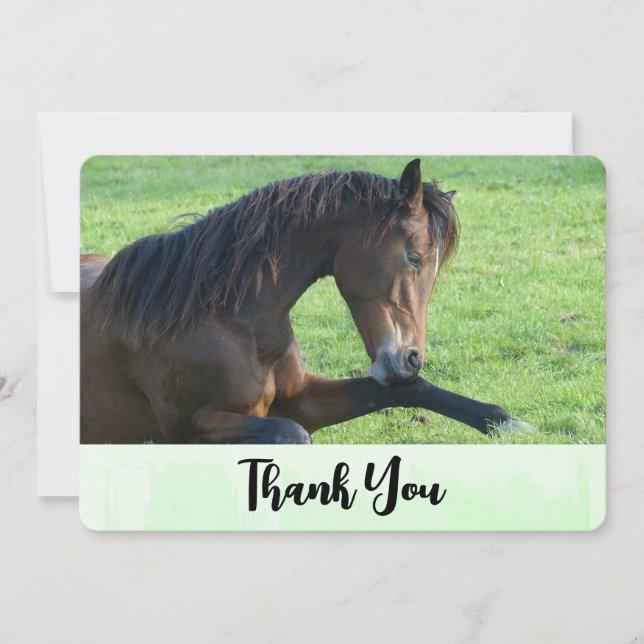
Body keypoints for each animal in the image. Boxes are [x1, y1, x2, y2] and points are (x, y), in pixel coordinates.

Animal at [81, 159, 526, 444]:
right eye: (414, 257)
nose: (412, 357)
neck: (229, 319)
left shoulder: (304, 398)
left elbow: (409, 390)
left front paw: (505, 421)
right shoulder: (191, 426)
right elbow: (291, 435)